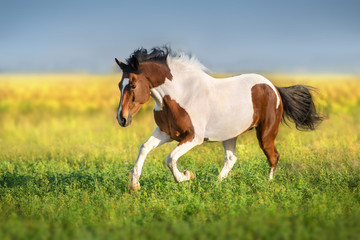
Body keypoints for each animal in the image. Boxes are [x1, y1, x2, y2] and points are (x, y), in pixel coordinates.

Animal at [114, 47, 322, 191]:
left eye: (133, 85)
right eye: (119, 85)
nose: (122, 119)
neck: (180, 95)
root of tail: (274, 88)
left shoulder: (193, 138)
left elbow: (170, 158)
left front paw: (187, 176)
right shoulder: (166, 133)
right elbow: (144, 147)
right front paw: (134, 185)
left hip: (265, 133)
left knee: (273, 156)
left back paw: (268, 184)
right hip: (230, 135)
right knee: (231, 158)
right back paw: (217, 184)